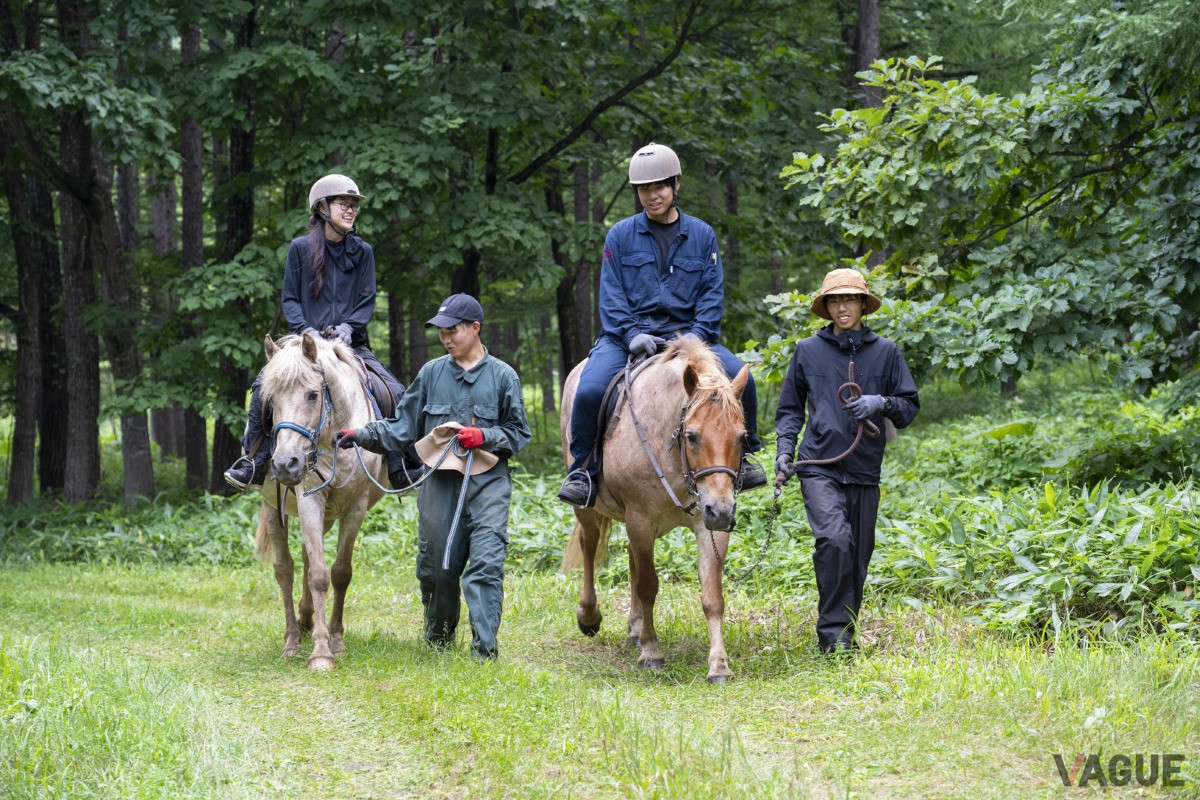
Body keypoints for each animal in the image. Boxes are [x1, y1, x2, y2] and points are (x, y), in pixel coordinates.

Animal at [253, 332, 388, 669]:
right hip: (274, 509)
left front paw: (335, 640)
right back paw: (292, 640)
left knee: (304, 558)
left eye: (313, 395)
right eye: (269, 401)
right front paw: (321, 652)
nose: (285, 464)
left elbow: (340, 573)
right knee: (285, 569)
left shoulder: (355, 507)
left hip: (327, 516)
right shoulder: (309, 502)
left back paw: (307, 620)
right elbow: (318, 575)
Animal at [559, 336, 750, 683]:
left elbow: (712, 596)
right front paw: (651, 652)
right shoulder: (640, 520)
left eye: (742, 437)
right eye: (692, 436)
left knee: (632, 562)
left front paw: (719, 665)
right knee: (590, 547)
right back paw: (589, 616)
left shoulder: (707, 527)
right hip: (591, 510)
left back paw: (635, 629)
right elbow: (648, 586)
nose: (722, 512)